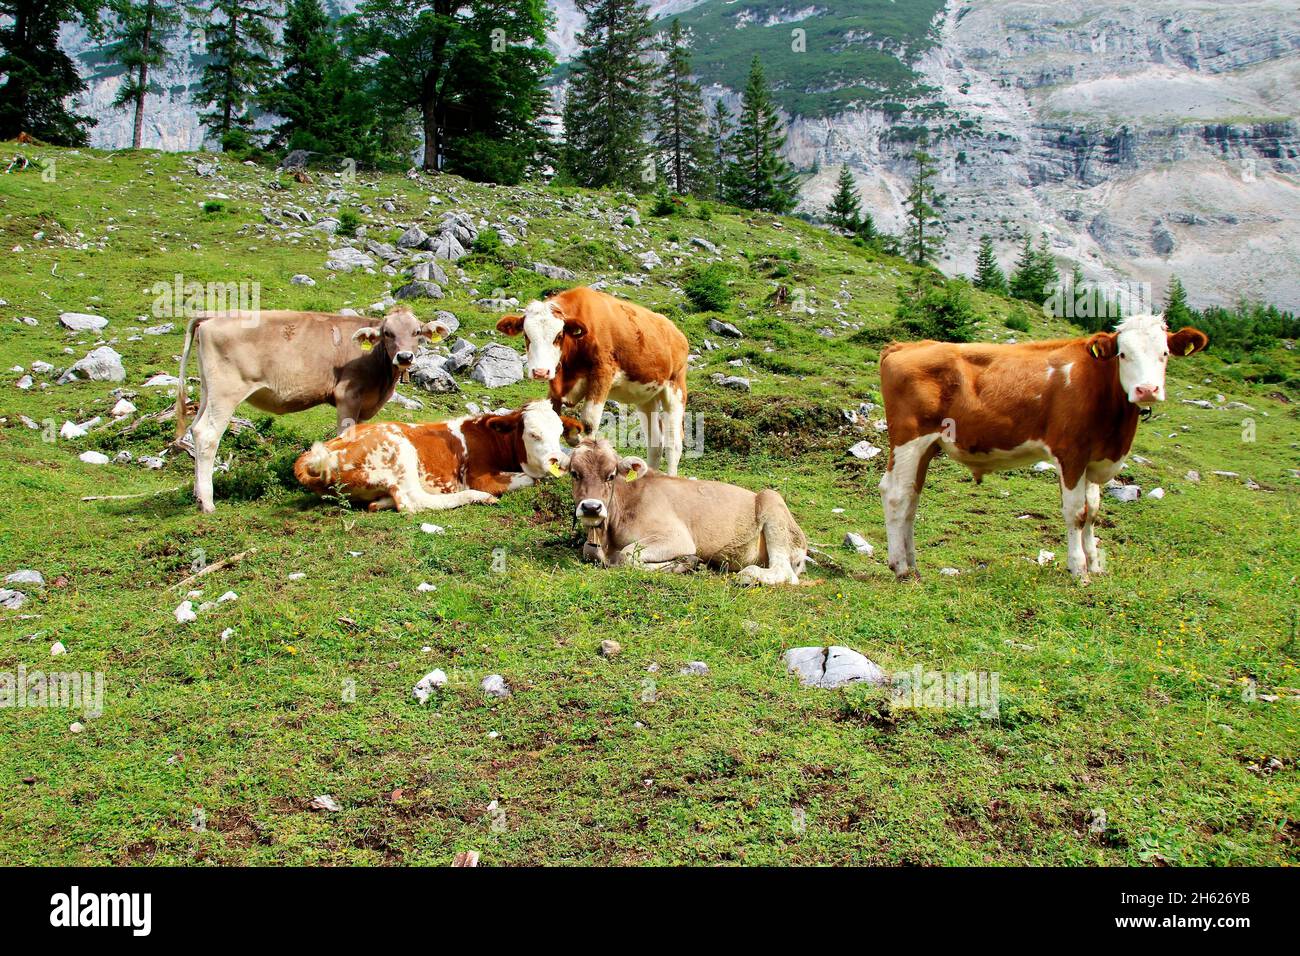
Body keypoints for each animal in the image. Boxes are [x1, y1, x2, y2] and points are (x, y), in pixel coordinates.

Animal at [174, 306, 449, 512]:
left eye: (416, 332)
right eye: (387, 333)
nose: (405, 357)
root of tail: (212, 316)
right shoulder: (348, 395)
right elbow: (344, 436)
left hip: (208, 390)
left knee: (195, 428)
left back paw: (197, 495)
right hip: (226, 391)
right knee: (208, 434)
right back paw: (207, 503)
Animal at [293, 401, 583, 512]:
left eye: (559, 432)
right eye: (533, 434)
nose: (558, 460)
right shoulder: (480, 476)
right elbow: (531, 479)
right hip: (401, 449)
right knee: (413, 502)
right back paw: (478, 498)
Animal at [495, 287, 690, 475]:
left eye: (558, 336)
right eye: (526, 335)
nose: (541, 372)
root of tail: (676, 331)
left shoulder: (603, 373)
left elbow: (589, 422)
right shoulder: (556, 384)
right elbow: (555, 416)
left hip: (676, 387)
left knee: (673, 443)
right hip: (646, 397)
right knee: (655, 443)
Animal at [565, 437, 808, 585]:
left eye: (611, 475)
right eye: (574, 473)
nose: (591, 507)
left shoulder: (676, 537)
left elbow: (627, 556)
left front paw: (684, 563)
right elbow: (590, 551)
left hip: (772, 503)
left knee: (784, 572)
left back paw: (749, 574)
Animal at [878, 313, 1209, 581]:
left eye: (1164, 353)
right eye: (1123, 354)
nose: (1147, 390)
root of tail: (905, 346)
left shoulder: (1094, 460)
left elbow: (1093, 511)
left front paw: (1095, 566)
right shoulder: (1071, 452)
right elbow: (1076, 512)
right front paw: (1079, 570)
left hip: (927, 447)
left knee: (911, 497)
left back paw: (912, 563)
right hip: (910, 439)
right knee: (896, 494)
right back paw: (901, 567)